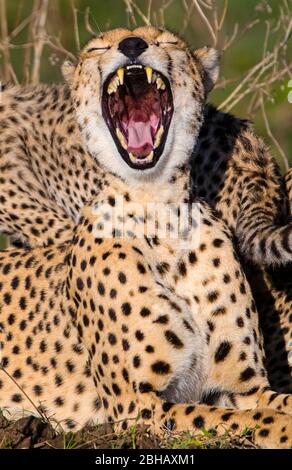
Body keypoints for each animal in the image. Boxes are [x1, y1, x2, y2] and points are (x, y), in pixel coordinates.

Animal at [0, 26, 292, 452]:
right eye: (98, 47)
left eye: (166, 41)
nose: (132, 45)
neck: (161, 211)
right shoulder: (138, 407)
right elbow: (242, 420)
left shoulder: (244, 388)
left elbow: (272, 405)